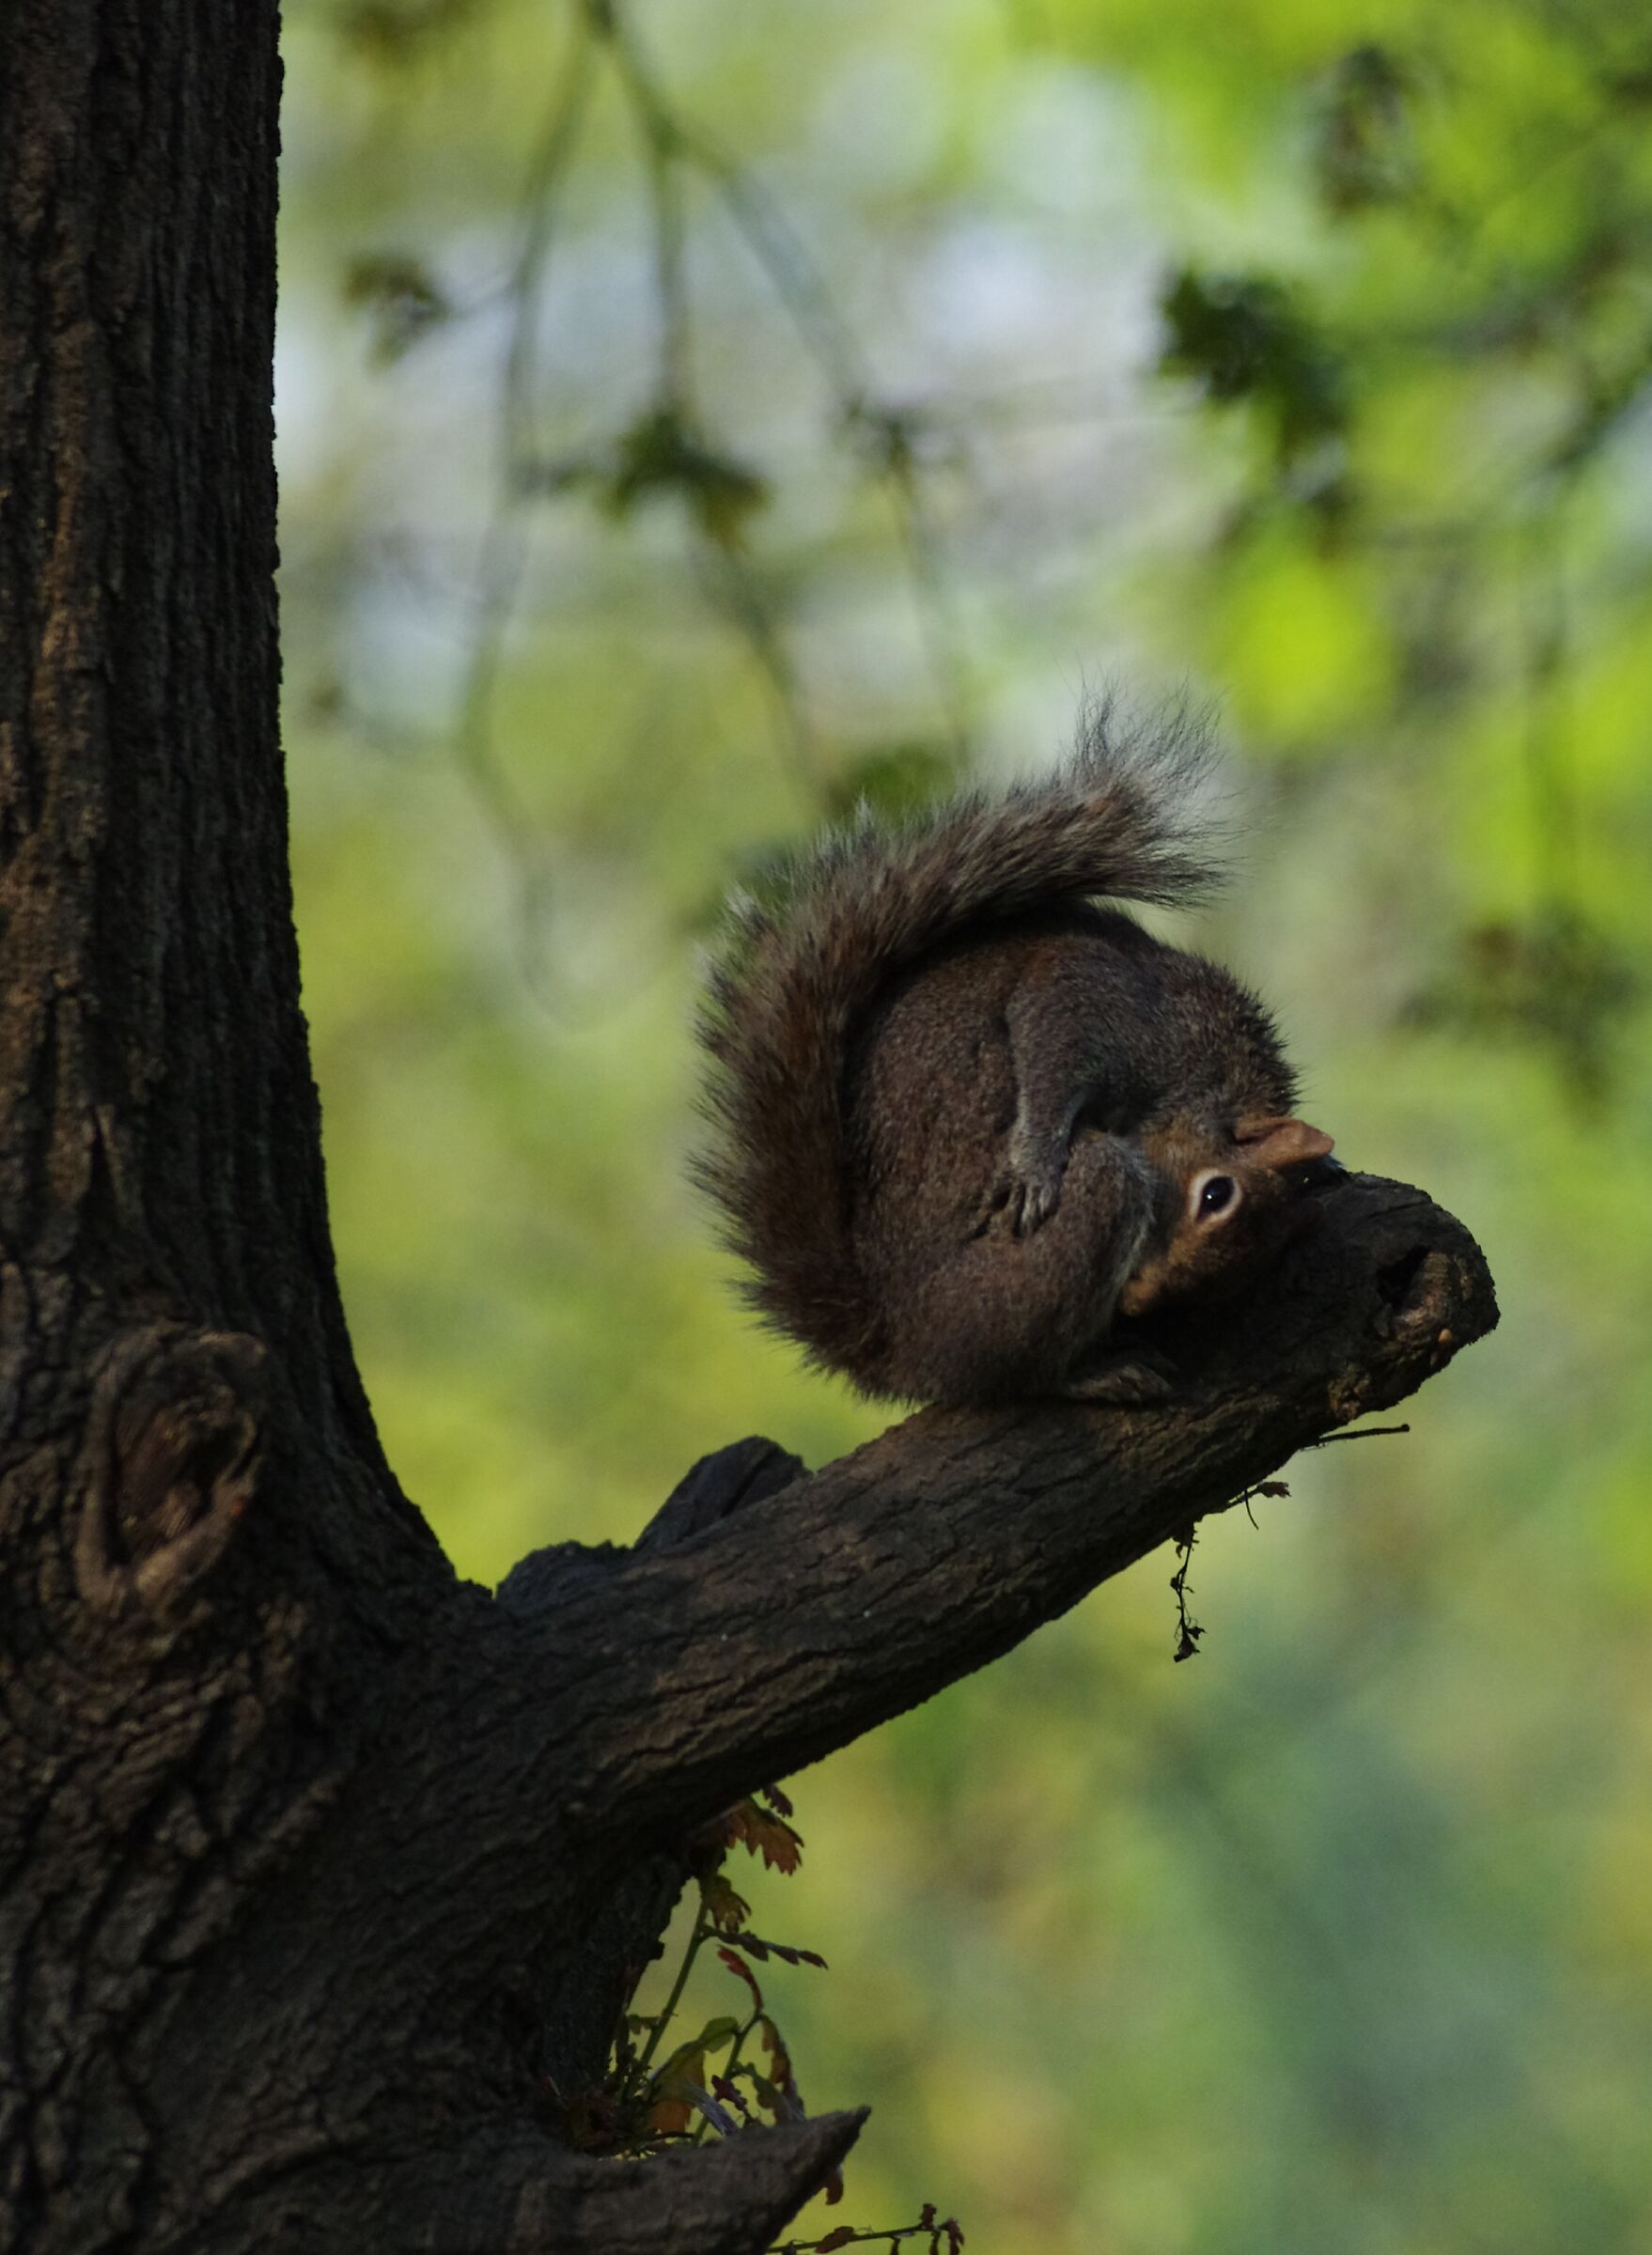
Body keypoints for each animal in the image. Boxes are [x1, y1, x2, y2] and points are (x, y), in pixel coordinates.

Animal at [695, 705, 1336, 1406]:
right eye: (1216, 1195)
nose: (1140, 1301)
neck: (1212, 1083)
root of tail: (903, 1348)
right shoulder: (1114, 1009)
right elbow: (1052, 1040)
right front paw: (1033, 1160)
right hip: (1068, 1221)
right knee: (1016, 1372)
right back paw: (1089, 1372)